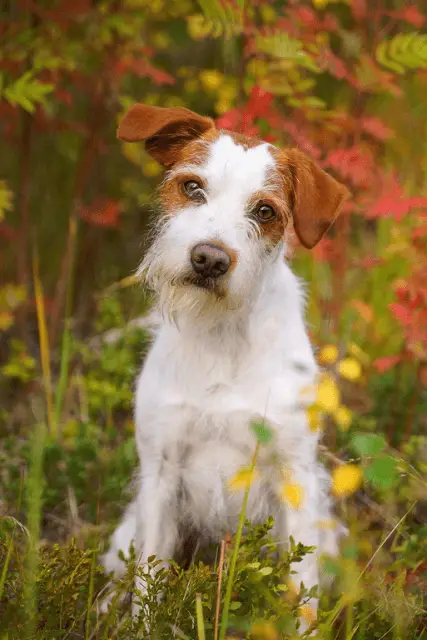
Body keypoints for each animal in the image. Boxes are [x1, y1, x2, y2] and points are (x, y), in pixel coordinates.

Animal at [103, 102, 352, 632]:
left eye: (265, 211)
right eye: (192, 187)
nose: (210, 259)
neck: (221, 336)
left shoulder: (296, 479)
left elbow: (302, 593)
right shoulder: (161, 474)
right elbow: (146, 587)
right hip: (125, 533)